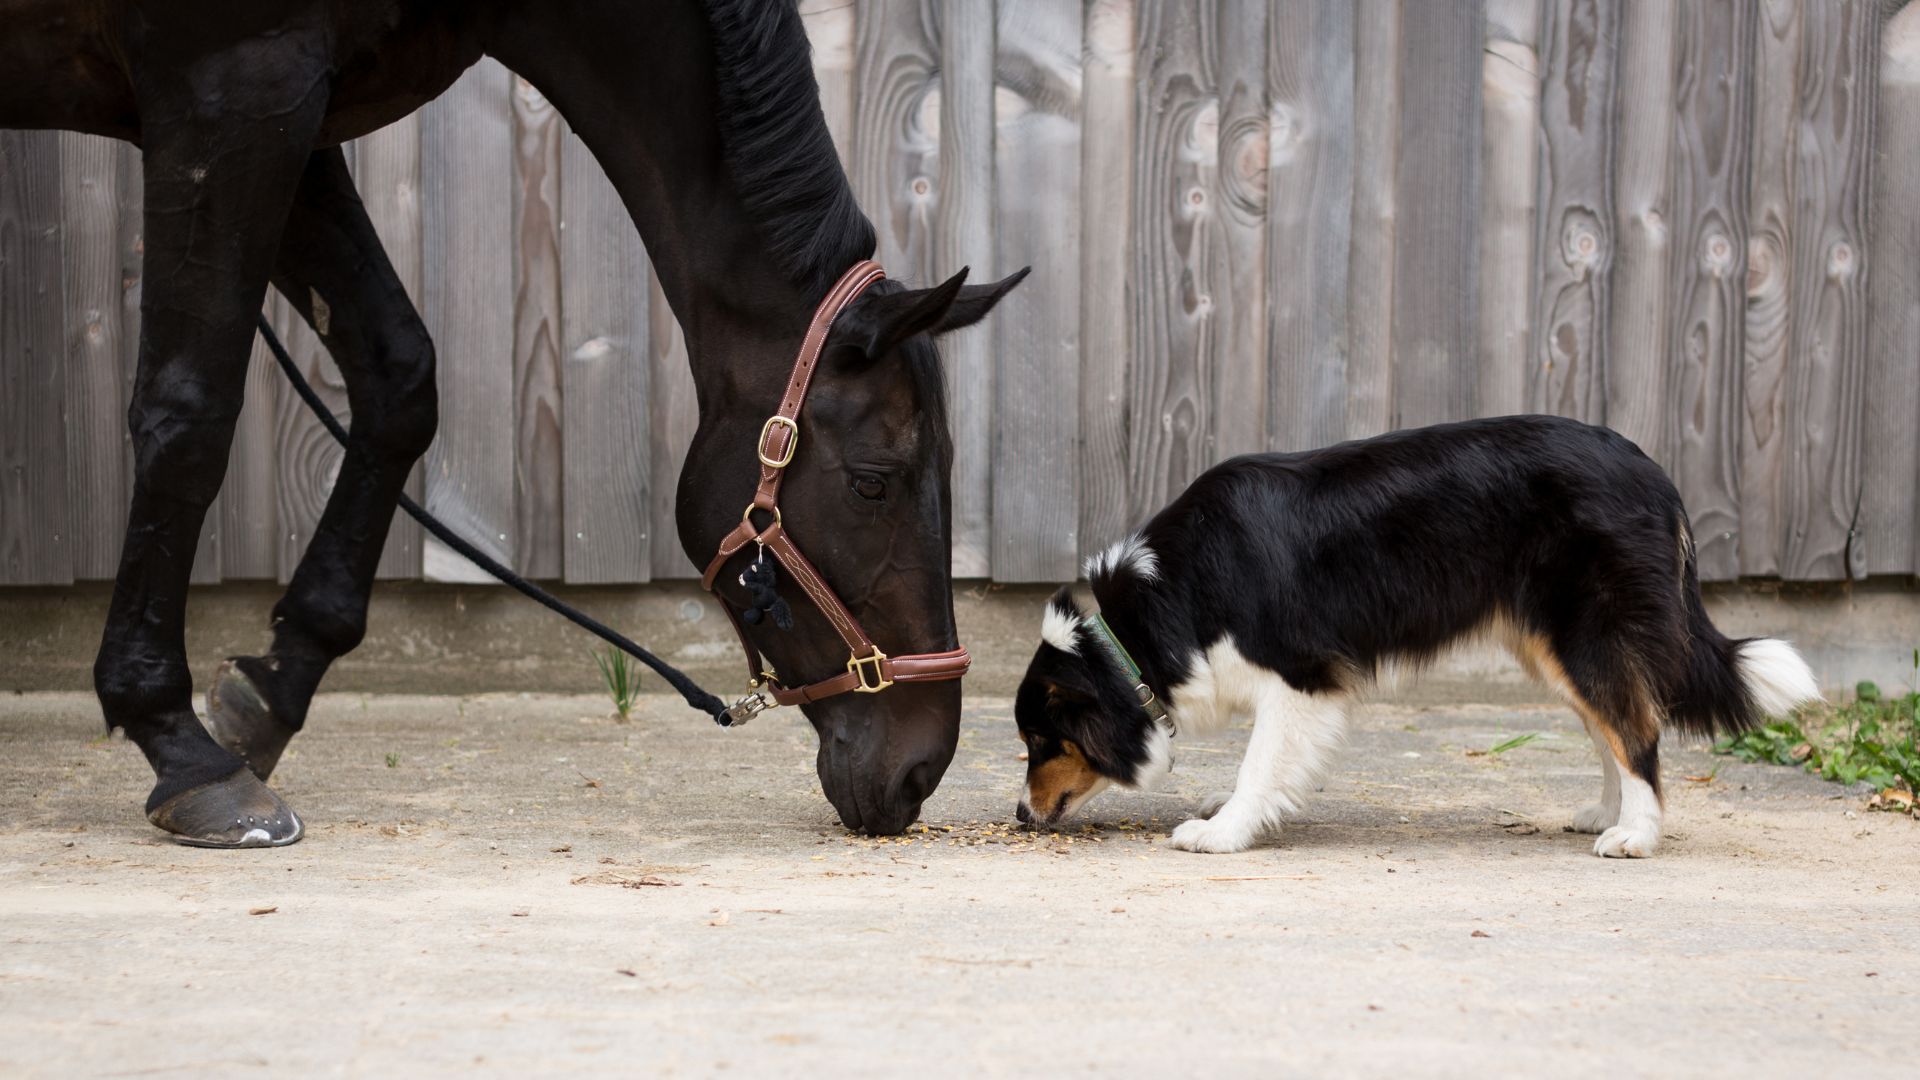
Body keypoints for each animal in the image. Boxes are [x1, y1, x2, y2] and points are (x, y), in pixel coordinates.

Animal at [0, 0, 1029, 841]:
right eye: (873, 481)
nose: (921, 768)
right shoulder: (231, 92)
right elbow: (189, 414)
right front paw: (179, 746)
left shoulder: (295, 109)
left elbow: (400, 376)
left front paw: (270, 693)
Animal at [1013, 413, 1820, 857]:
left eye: (1042, 742)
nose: (1020, 816)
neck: (1147, 616)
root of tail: (1659, 475)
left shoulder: (1300, 679)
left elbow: (1260, 764)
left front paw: (1223, 831)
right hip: (1556, 647)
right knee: (1613, 725)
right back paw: (1608, 810)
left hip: (1587, 634)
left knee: (1637, 729)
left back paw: (1635, 835)